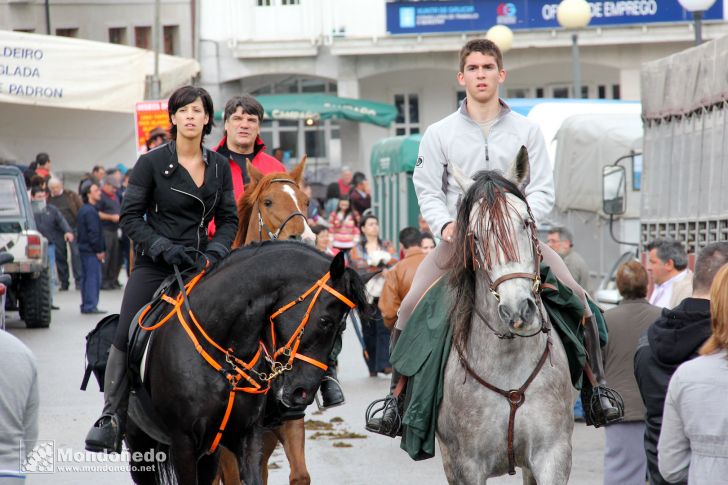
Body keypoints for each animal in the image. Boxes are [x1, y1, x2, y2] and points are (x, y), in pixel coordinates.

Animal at [123, 242, 370, 484]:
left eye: (343, 328)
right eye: (325, 321)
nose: (304, 393)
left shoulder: (248, 436)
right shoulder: (184, 443)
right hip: (141, 445)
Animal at [438, 149, 576, 482]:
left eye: (526, 222)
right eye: (474, 237)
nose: (518, 310)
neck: (509, 358)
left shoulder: (552, 455)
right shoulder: (467, 465)